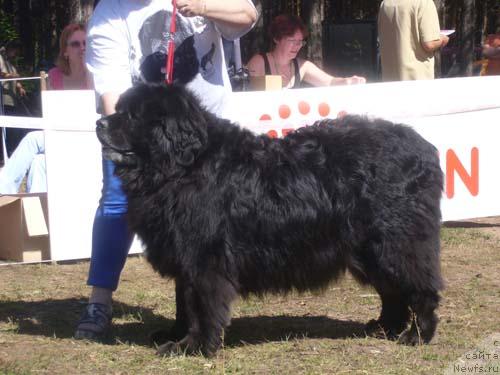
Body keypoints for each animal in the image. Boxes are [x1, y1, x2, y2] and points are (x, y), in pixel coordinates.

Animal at [95, 83, 444, 356]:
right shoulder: (184, 257)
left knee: (420, 287)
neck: (184, 165)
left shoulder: (203, 259)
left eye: (133, 116)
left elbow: (199, 306)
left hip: (397, 242)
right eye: (120, 109)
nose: (99, 122)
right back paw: (383, 327)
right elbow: (183, 302)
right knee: (392, 291)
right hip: (368, 249)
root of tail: (425, 148)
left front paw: (194, 346)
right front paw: (173, 335)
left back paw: (417, 335)